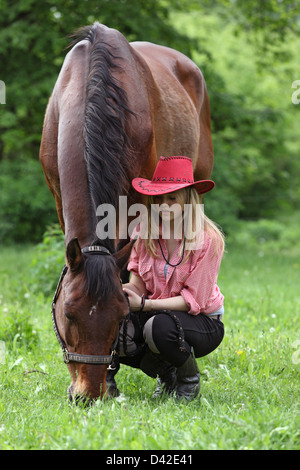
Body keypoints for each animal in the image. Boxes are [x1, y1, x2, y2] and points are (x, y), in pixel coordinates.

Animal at [39, 23, 213, 404]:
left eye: (120, 315)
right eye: (69, 313)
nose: (88, 394)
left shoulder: (135, 204)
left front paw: (112, 376)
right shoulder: (57, 197)